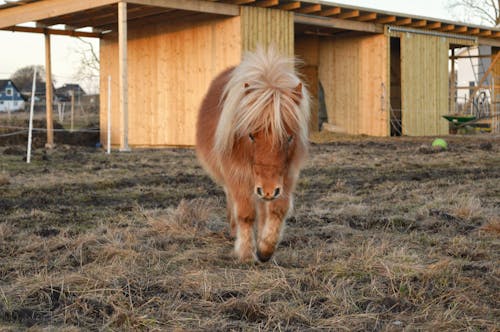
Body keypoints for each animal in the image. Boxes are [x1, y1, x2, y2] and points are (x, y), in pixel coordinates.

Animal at [195, 48, 308, 264]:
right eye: (251, 135)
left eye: (289, 137)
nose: (269, 190)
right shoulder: (237, 174)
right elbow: (246, 214)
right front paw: (246, 254)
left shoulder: (286, 176)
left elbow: (277, 210)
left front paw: (265, 248)